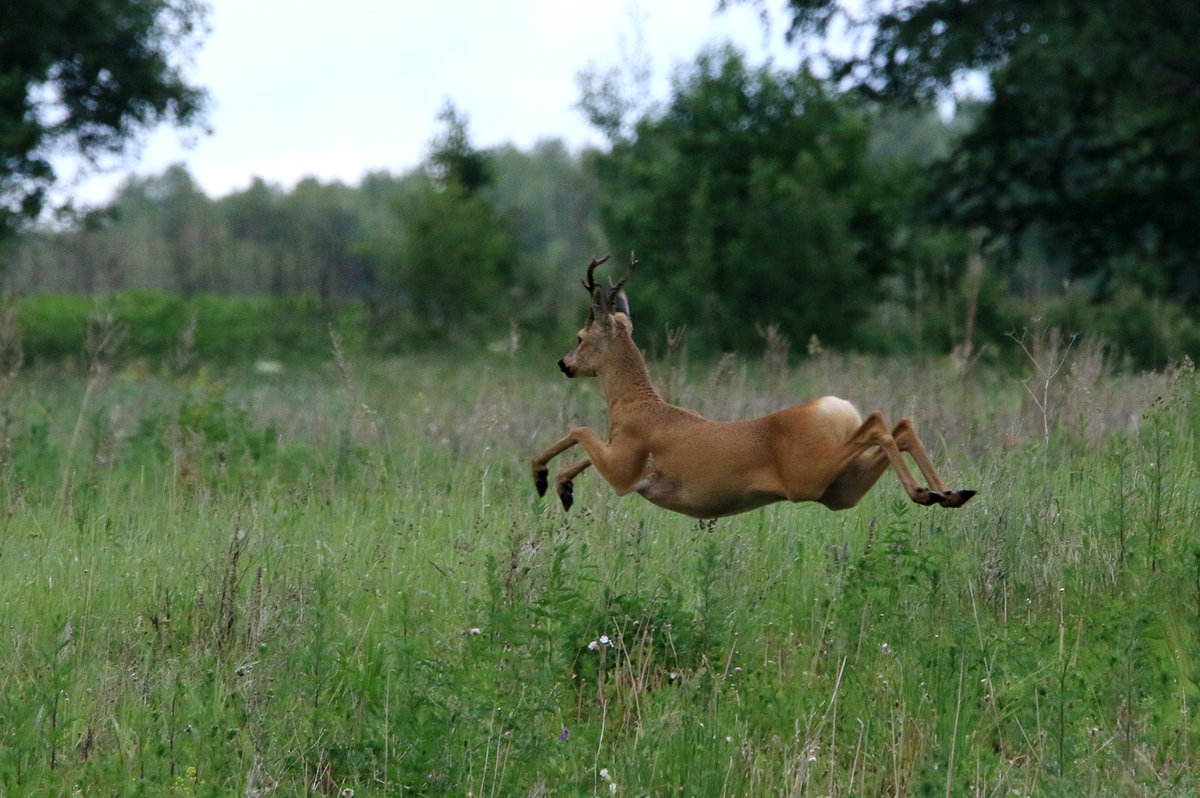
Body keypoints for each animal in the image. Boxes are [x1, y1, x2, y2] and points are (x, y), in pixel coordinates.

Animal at [532, 253, 974, 516]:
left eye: (579, 337)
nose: (563, 364)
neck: (633, 404)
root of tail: (837, 408)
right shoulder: (617, 452)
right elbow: (585, 445)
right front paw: (562, 486)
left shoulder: (624, 472)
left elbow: (580, 429)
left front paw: (541, 477)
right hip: (839, 490)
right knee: (899, 425)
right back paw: (947, 493)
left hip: (808, 475)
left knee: (881, 426)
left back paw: (929, 492)